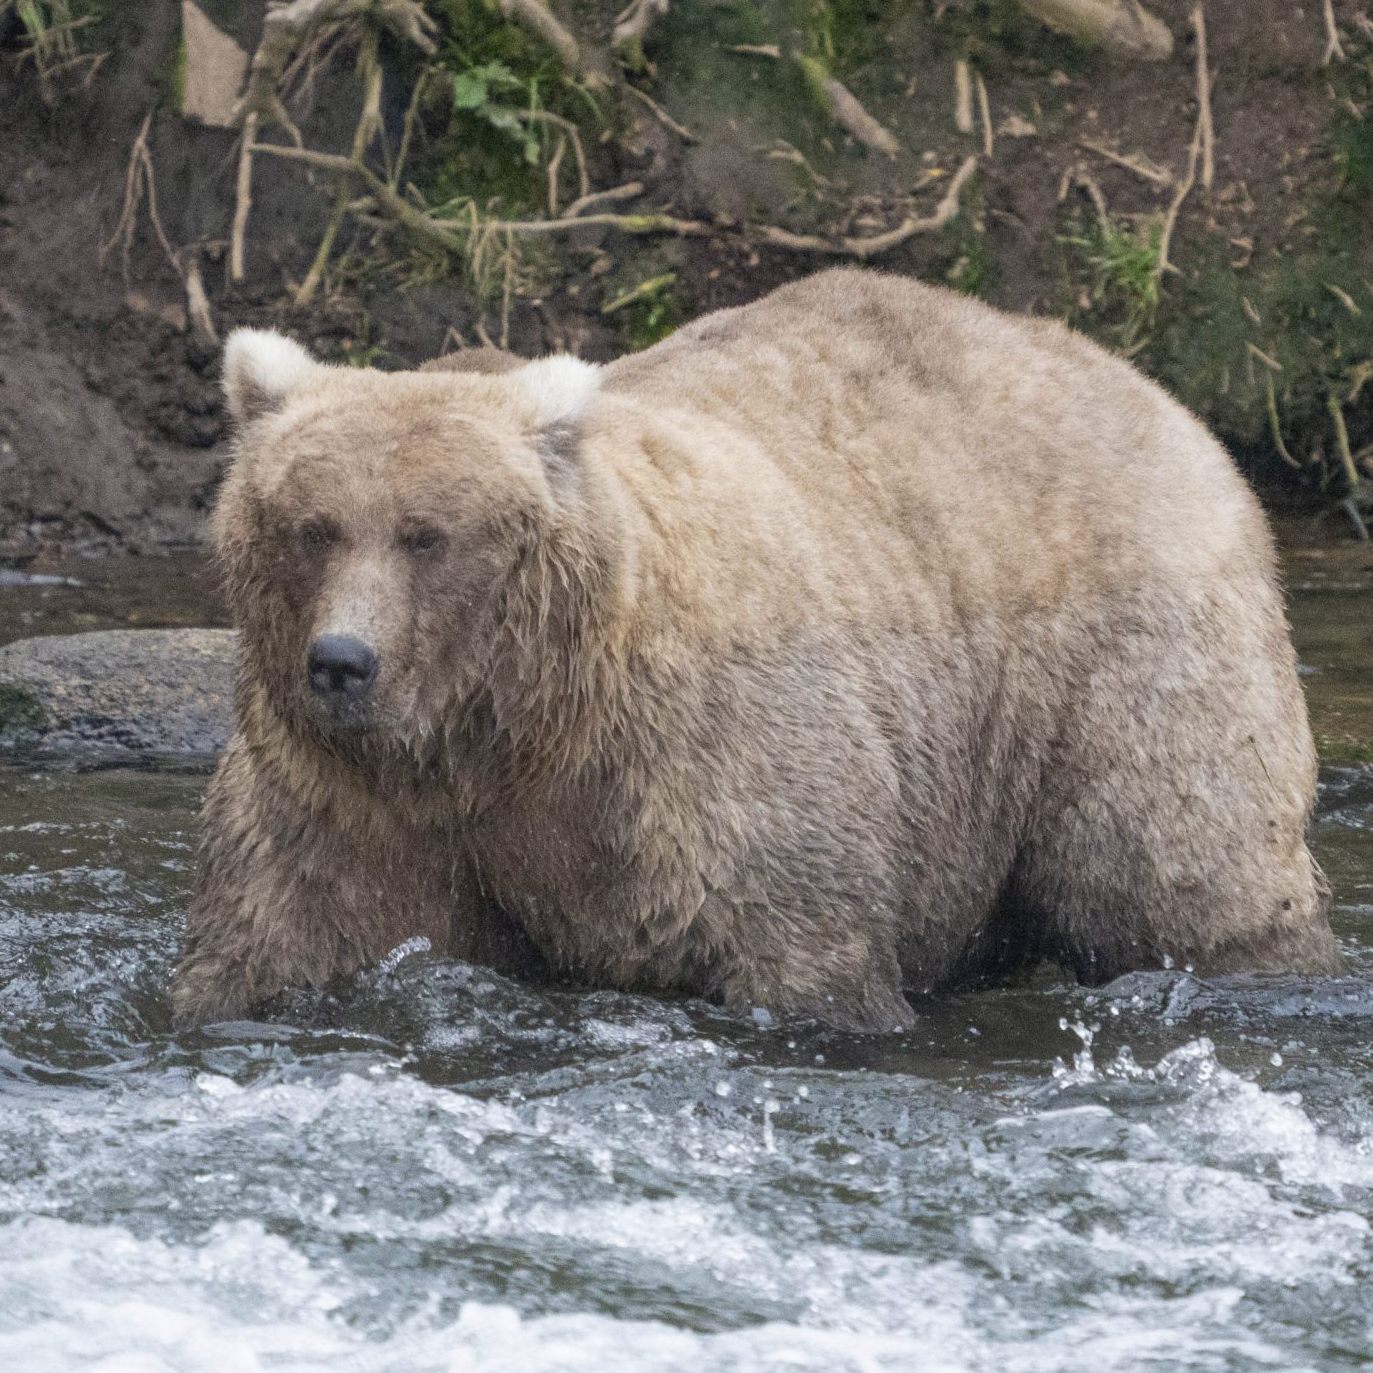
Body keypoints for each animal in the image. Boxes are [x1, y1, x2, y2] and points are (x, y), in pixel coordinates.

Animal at [171, 268, 1340, 1030]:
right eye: (311, 524)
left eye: (427, 533)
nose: (342, 660)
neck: (513, 726)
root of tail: (1149, 388)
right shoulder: (352, 796)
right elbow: (289, 930)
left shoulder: (704, 761)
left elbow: (797, 940)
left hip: (1123, 657)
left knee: (1174, 866)